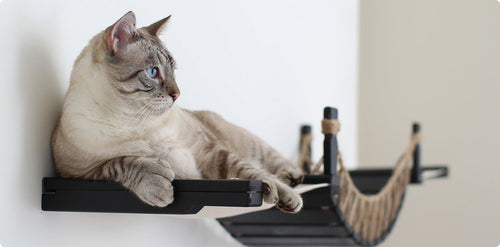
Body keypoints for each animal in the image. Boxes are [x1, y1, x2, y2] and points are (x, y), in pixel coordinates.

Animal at [49, 11, 304, 212]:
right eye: (153, 72)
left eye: (174, 71)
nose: (177, 94)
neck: (133, 120)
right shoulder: (80, 173)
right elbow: (122, 163)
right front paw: (159, 185)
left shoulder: (208, 150)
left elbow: (250, 171)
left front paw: (282, 194)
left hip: (249, 142)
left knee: (272, 161)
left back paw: (293, 178)